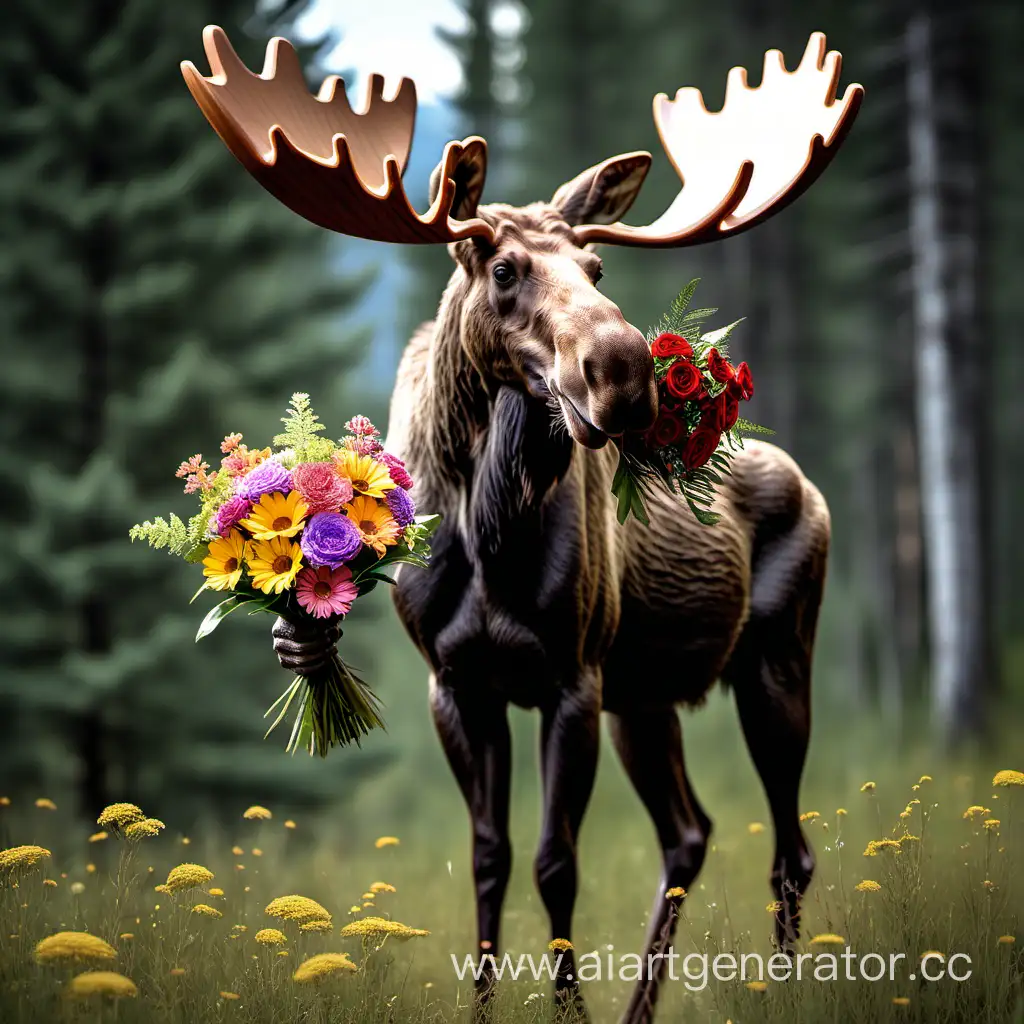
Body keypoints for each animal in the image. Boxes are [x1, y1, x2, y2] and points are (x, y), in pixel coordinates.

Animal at [184, 28, 864, 1019]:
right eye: (504, 269)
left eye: (598, 270)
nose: (625, 368)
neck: (489, 527)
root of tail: (810, 486)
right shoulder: (459, 680)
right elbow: (490, 860)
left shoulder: (570, 677)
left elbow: (555, 864)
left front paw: (568, 1006)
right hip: (645, 695)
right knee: (690, 832)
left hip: (774, 654)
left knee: (790, 849)